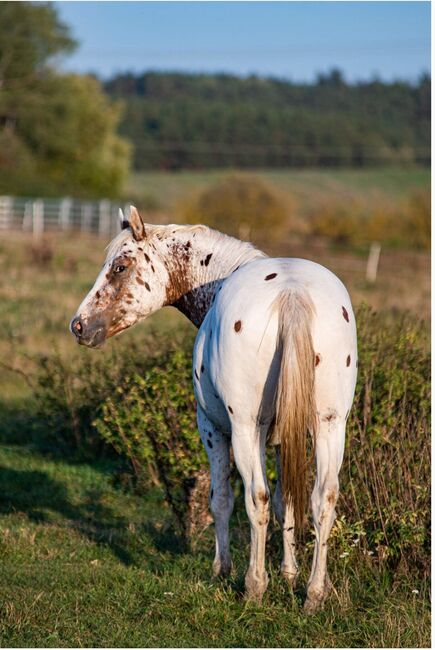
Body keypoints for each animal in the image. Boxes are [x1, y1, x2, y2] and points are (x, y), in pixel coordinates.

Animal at [70, 205, 358, 612]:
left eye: (120, 268)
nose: (79, 326)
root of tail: (292, 293)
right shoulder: (287, 437)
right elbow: (287, 503)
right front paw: (290, 575)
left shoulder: (212, 430)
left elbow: (222, 499)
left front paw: (222, 571)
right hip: (331, 426)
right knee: (323, 500)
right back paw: (314, 594)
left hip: (244, 430)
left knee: (256, 498)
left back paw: (254, 585)